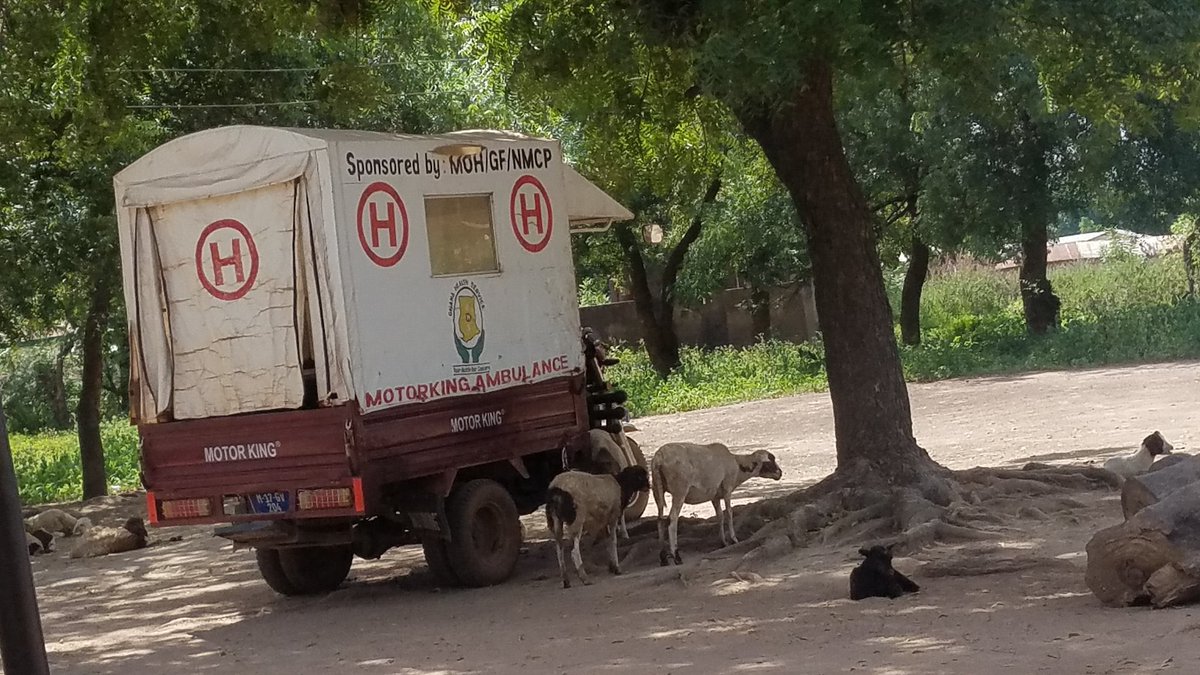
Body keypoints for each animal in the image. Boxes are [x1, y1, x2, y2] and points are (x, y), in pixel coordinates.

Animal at [652, 441, 782, 562]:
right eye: (769, 461)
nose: (780, 473)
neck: (737, 465)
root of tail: (659, 457)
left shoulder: (715, 497)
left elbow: (720, 516)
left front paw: (723, 542)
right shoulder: (727, 489)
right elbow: (729, 513)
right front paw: (734, 539)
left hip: (657, 488)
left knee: (660, 519)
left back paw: (663, 557)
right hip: (680, 489)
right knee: (672, 519)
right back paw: (676, 556)